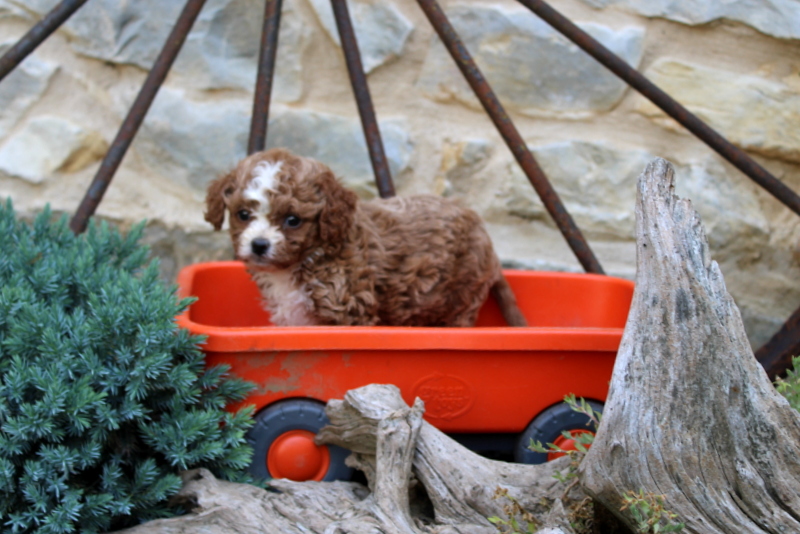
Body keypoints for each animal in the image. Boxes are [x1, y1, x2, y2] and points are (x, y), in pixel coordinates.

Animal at [203, 149, 528, 328]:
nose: (259, 245)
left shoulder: (347, 309)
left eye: (293, 220)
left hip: (462, 296)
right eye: (243, 214)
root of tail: (481, 228)